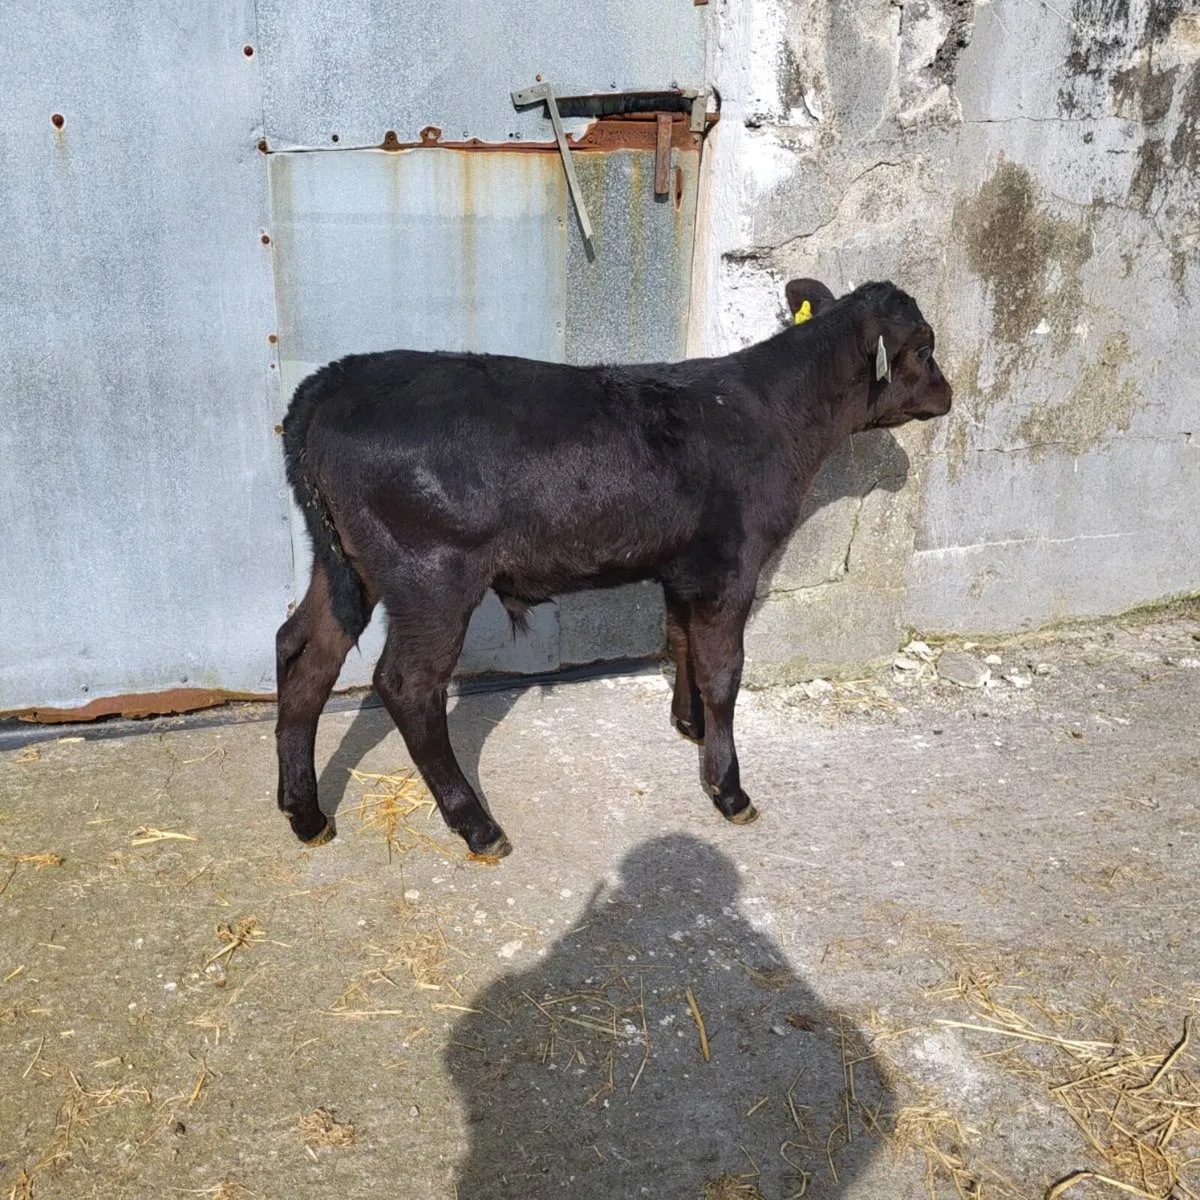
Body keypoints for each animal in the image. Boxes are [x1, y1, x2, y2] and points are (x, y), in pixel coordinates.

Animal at [274, 279, 952, 859]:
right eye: (924, 348)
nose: (948, 396)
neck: (766, 413)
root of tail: (333, 382)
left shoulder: (684, 568)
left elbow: (680, 641)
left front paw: (688, 725)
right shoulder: (730, 567)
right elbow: (724, 673)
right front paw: (729, 789)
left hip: (348, 565)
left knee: (302, 650)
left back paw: (304, 813)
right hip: (432, 574)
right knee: (407, 684)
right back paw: (477, 825)